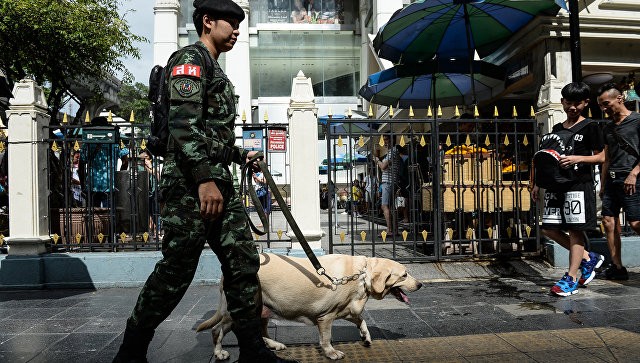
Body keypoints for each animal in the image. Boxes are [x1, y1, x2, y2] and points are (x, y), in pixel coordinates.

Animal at [198, 253, 422, 362]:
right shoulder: (326, 316)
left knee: (259, 330)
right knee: (217, 329)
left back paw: (273, 345)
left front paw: (366, 336)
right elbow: (326, 338)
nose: (420, 285)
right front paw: (331, 353)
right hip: (237, 310)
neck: (360, 274)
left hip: (262, 308)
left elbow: (361, 319)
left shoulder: (347, 309)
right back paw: (219, 353)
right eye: (404, 275)